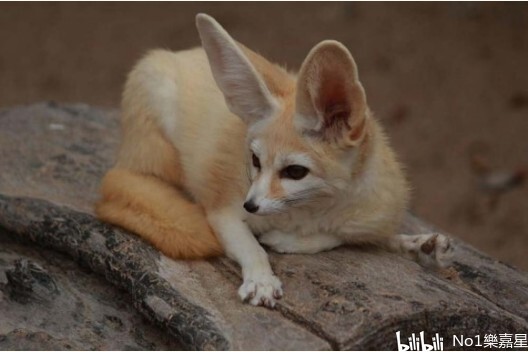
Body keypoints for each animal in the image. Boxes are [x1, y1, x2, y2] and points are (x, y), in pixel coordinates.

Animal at [96, 13, 454, 308]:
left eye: (295, 172)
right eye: (254, 160)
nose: (250, 205)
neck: (311, 210)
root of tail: (183, 53)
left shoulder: (373, 216)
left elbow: (346, 236)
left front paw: (413, 242)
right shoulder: (223, 211)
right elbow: (250, 246)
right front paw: (261, 277)